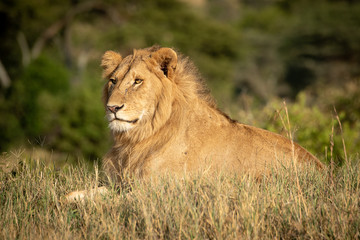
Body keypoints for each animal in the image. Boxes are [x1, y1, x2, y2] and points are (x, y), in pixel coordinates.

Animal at [65, 46, 324, 201]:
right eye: (113, 81)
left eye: (137, 81)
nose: (112, 108)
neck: (138, 138)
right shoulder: (120, 182)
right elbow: (74, 195)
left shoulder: (157, 191)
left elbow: (106, 202)